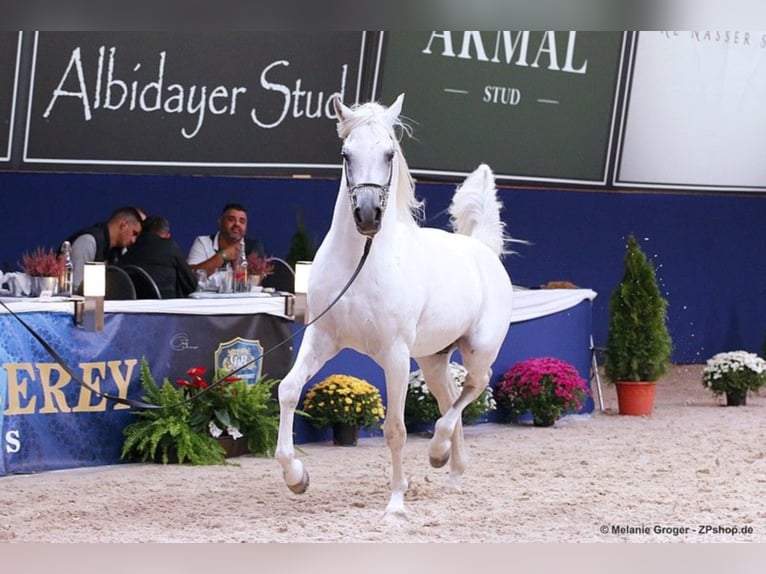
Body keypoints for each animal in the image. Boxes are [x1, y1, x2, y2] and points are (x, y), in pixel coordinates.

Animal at [276, 93, 516, 516]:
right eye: (346, 153)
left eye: (389, 153)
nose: (368, 215)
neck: (362, 261)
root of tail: (483, 250)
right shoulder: (321, 337)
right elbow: (288, 390)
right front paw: (296, 477)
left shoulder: (395, 355)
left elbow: (395, 429)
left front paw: (396, 504)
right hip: (433, 359)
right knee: (450, 397)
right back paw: (451, 470)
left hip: (477, 348)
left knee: (475, 386)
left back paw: (438, 452)